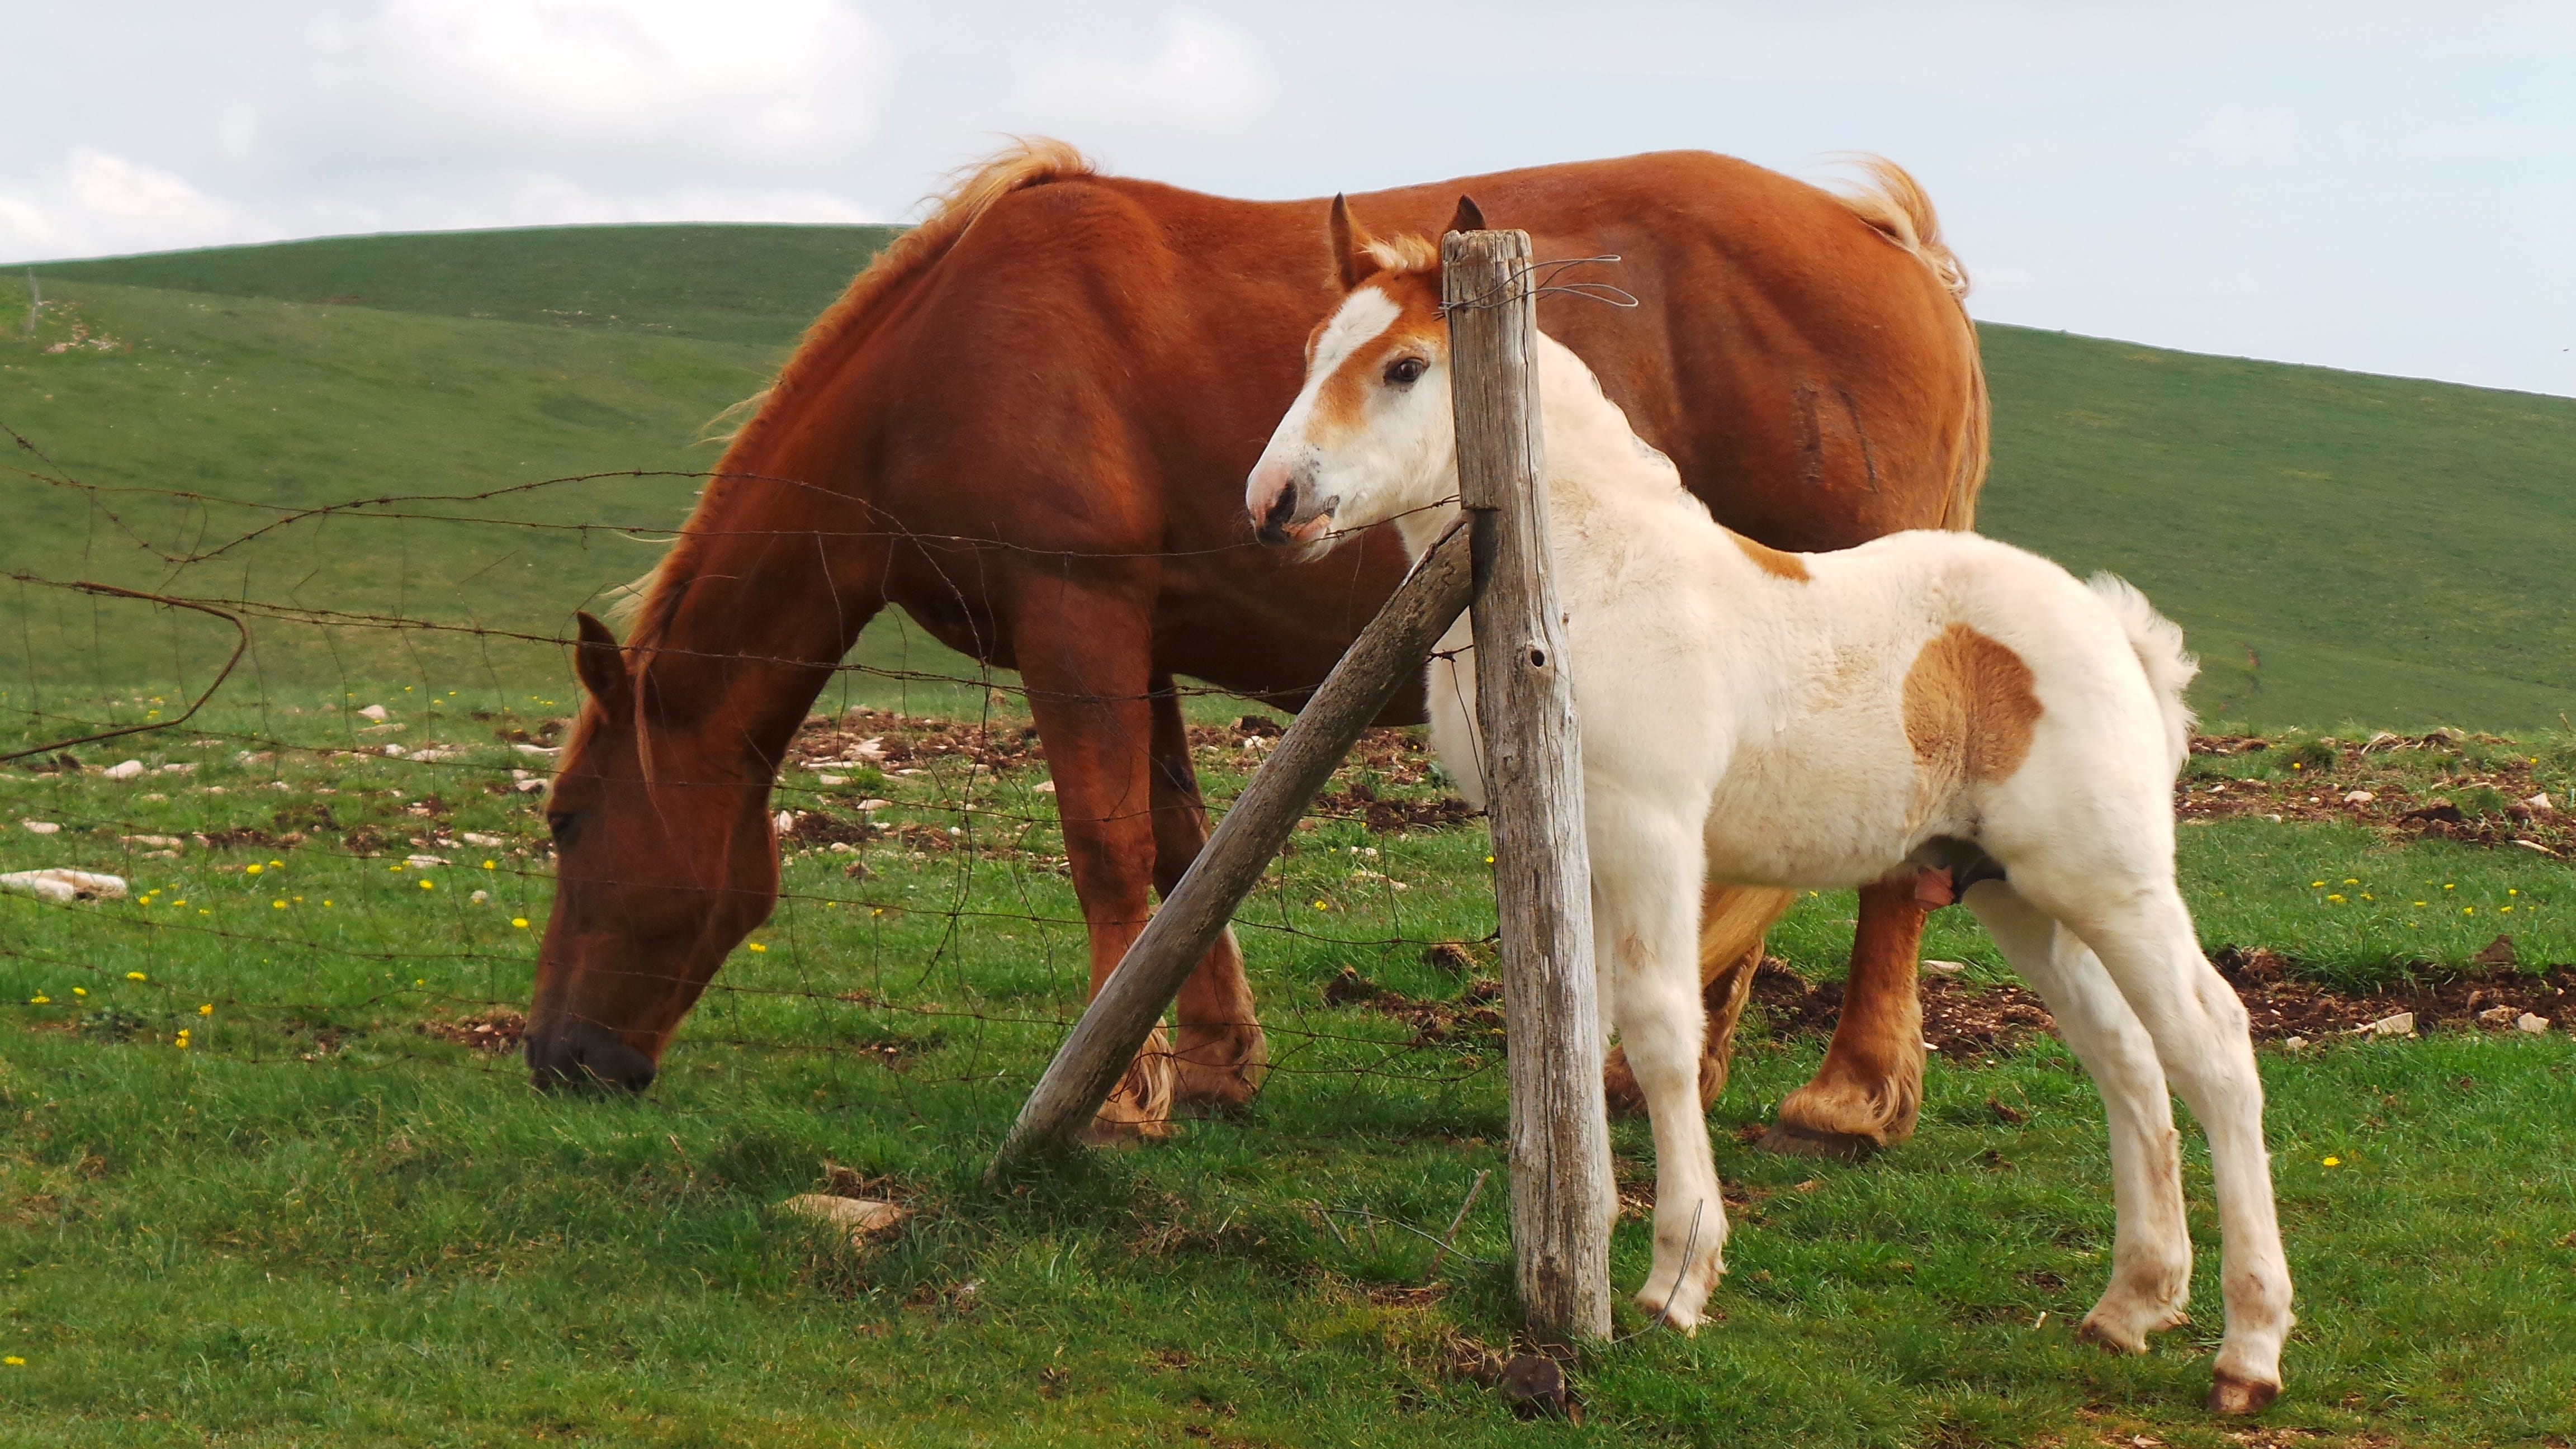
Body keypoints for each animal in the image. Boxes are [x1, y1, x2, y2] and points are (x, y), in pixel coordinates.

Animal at [527, 139, 1988, 1148]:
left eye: (566, 821)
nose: (554, 1060)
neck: (944, 358)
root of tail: (1892, 247)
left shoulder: (1075, 614)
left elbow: (1106, 843)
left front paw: (1121, 1096)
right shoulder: (1136, 634)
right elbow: (1180, 844)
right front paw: (1215, 1061)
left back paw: (1848, 1097)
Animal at [1242, 224, 2291, 1414]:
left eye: (1405, 367)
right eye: (1314, 350)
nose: (1273, 500)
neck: (1589, 581)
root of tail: (2115, 630)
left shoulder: (1653, 834)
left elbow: (1659, 1030)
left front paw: (1674, 1278)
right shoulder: (1567, 847)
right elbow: (1575, 1029)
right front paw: (1582, 1235)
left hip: (2112, 881)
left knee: (2211, 1046)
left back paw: (2247, 1350)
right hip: (2019, 895)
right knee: (2123, 1054)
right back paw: (2130, 1304)